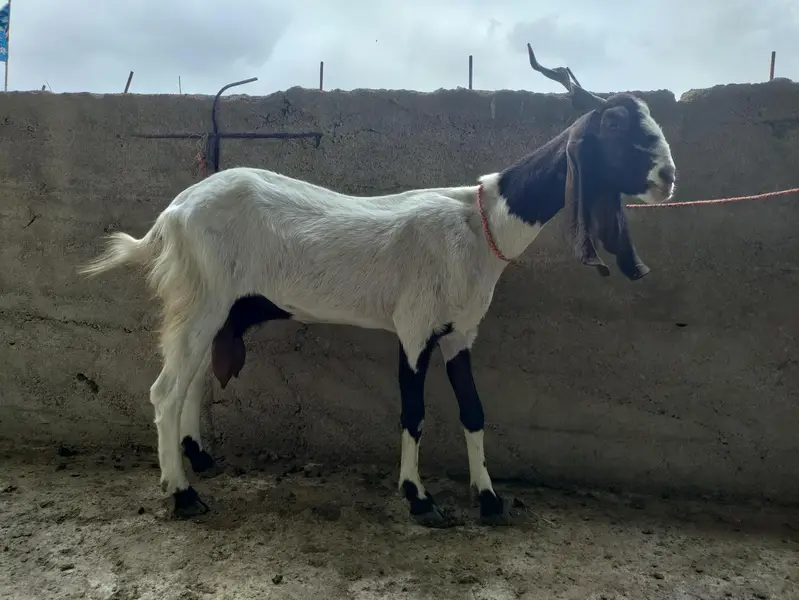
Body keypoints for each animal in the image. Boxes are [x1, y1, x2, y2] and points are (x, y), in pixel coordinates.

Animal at [78, 44, 677, 528]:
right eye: (616, 126)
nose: (668, 177)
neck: (477, 224)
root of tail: (173, 213)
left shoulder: (461, 333)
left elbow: (474, 411)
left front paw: (488, 500)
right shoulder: (414, 329)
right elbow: (414, 412)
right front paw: (420, 500)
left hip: (221, 307)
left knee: (195, 381)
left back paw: (199, 460)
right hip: (201, 299)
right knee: (165, 390)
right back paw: (182, 494)